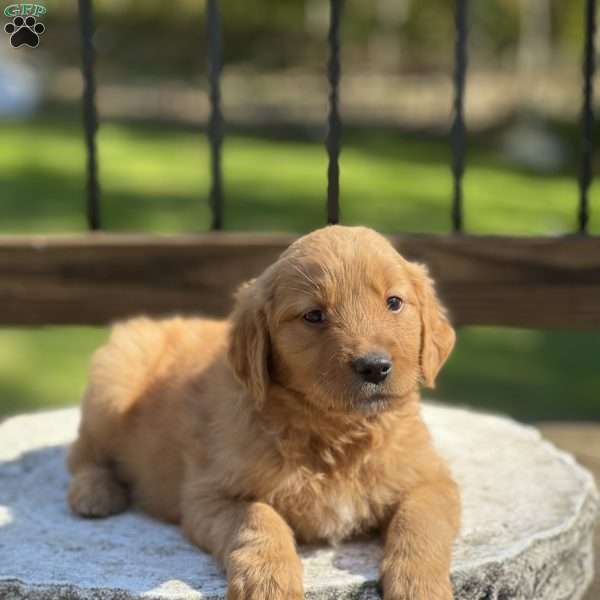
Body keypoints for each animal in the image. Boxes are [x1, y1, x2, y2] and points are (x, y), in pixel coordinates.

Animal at [67, 225, 460, 600]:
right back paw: (94, 493)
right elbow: (258, 518)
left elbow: (419, 523)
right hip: (113, 385)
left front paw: (419, 586)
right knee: (81, 451)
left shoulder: (432, 479)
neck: (336, 434)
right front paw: (270, 583)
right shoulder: (208, 494)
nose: (375, 367)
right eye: (314, 315)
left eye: (394, 303)